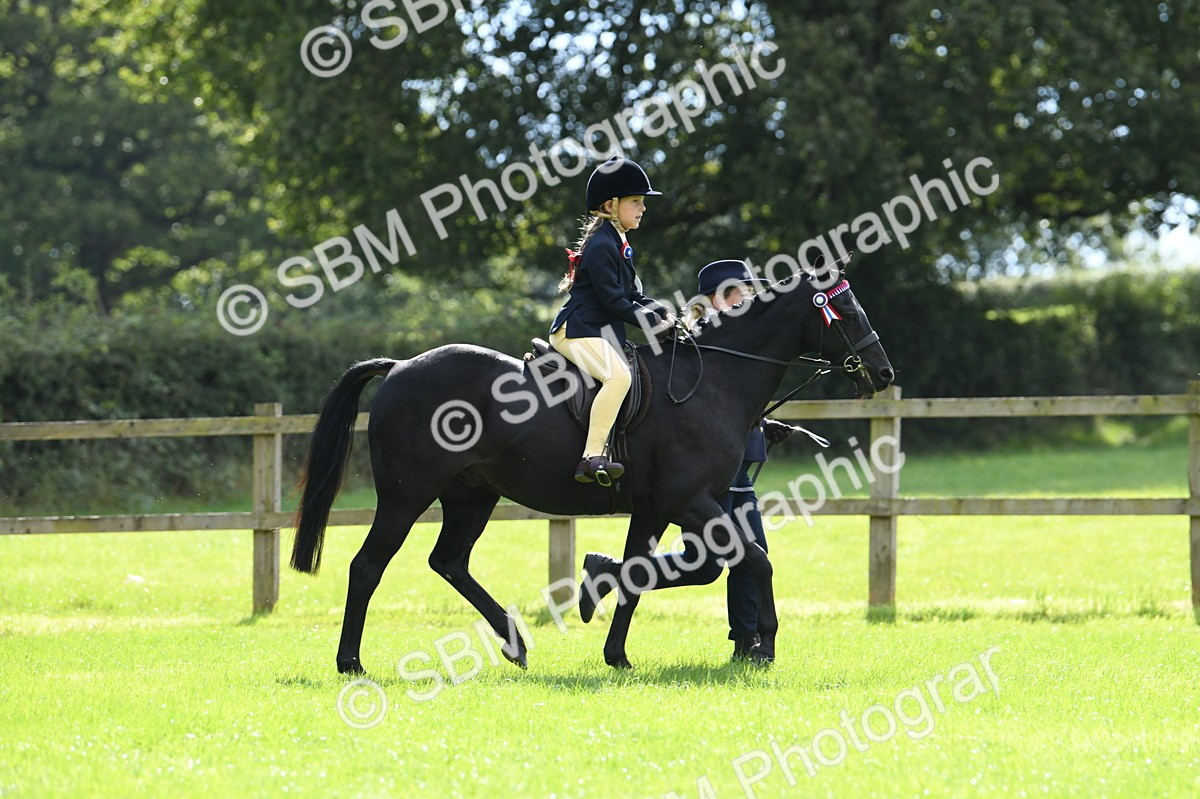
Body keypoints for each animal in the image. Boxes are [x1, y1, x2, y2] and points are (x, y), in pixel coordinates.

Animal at [289, 266, 893, 674]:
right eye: (846, 313)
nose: (884, 373)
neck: (711, 380)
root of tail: (400, 366)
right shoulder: (691, 503)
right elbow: (754, 561)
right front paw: (764, 646)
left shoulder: (655, 509)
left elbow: (642, 572)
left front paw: (610, 635)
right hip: (405, 496)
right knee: (368, 567)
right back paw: (351, 662)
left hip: (471, 496)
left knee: (450, 562)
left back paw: (515, 643)